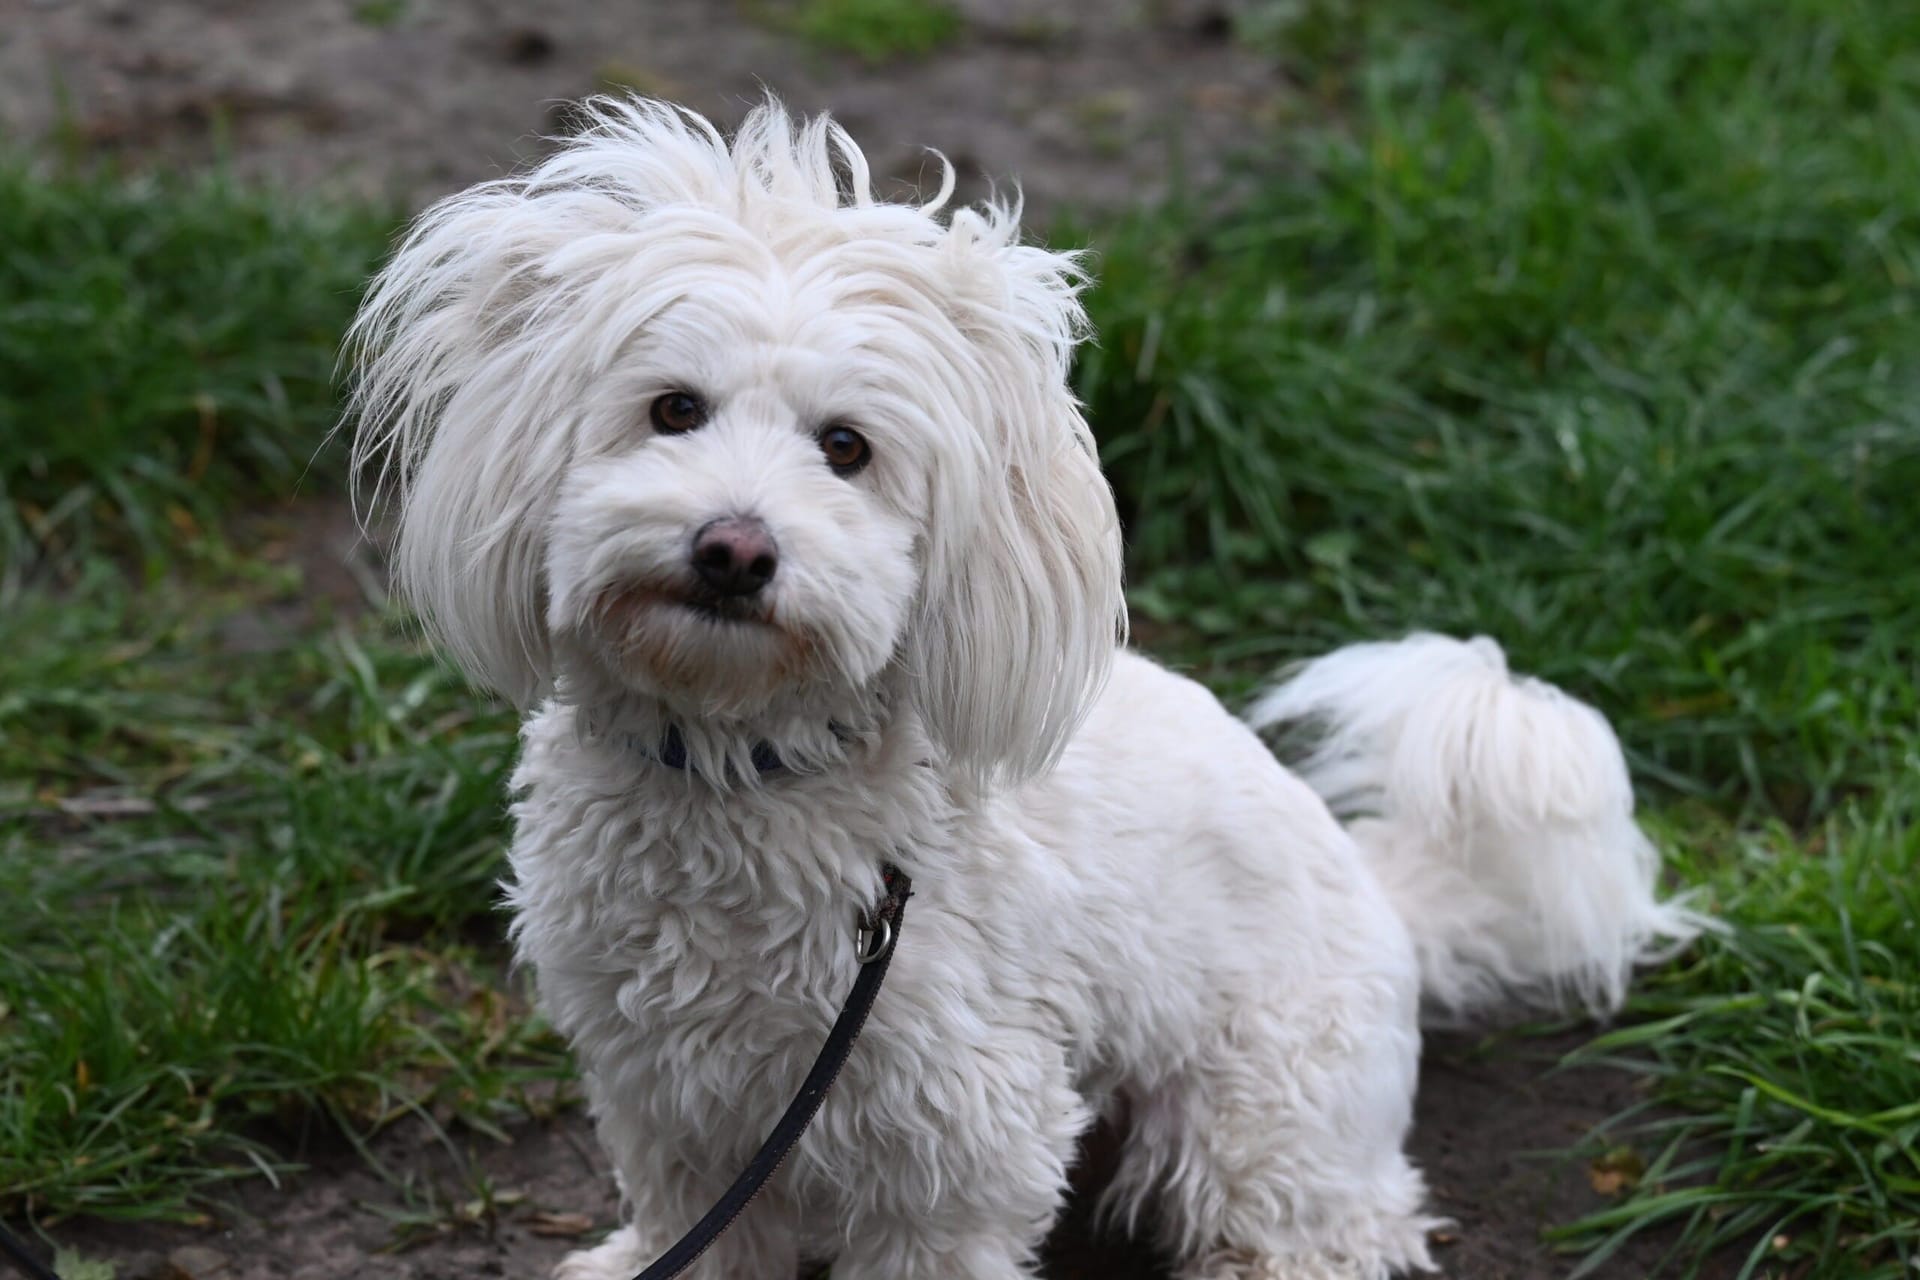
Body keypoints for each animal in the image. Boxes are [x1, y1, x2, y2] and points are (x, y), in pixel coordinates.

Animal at [345, 100, 1697, 1280]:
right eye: (672, 409)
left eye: (847, 447)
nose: (734, 549)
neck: (746, 768)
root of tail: (1387, 897)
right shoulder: (672, 1095)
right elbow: (701, 1228)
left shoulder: (953, 1133)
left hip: (1257, 1116)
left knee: (1317, 1222)